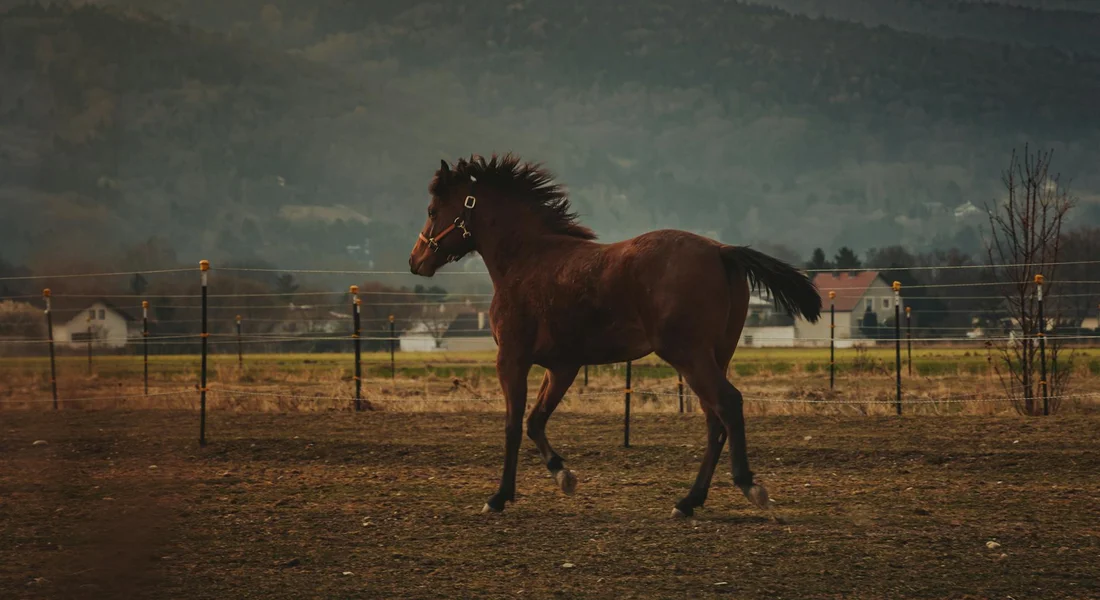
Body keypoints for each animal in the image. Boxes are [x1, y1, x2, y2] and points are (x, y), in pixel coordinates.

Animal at [408, 154, 821, 517]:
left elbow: (512, 425)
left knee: (728, 405)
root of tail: (721, 250)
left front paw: (498, 497)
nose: (415, 261)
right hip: (716, 355)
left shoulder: (512, 359)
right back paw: (688, 502)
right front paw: (564, 475)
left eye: (432, 211)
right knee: (714, 420)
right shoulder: (562, 366)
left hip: (690, 355)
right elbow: (535, 421)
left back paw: (749, 487)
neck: (526, 260)